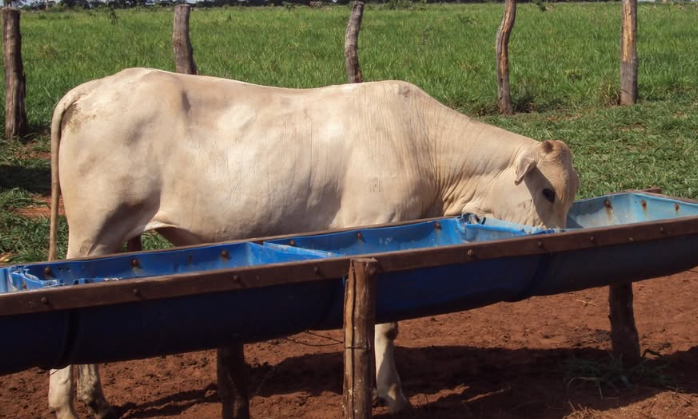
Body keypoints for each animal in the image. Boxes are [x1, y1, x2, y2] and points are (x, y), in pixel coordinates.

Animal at [49, 67, 580, 418]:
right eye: (548, 192)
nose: (560, 241)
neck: (426, 147)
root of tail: (93, 88)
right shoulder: (376, 232)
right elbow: (383, 326)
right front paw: (393, 396)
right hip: (92, 232)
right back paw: (66, 405)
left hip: (111, 237)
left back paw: (97, 400)